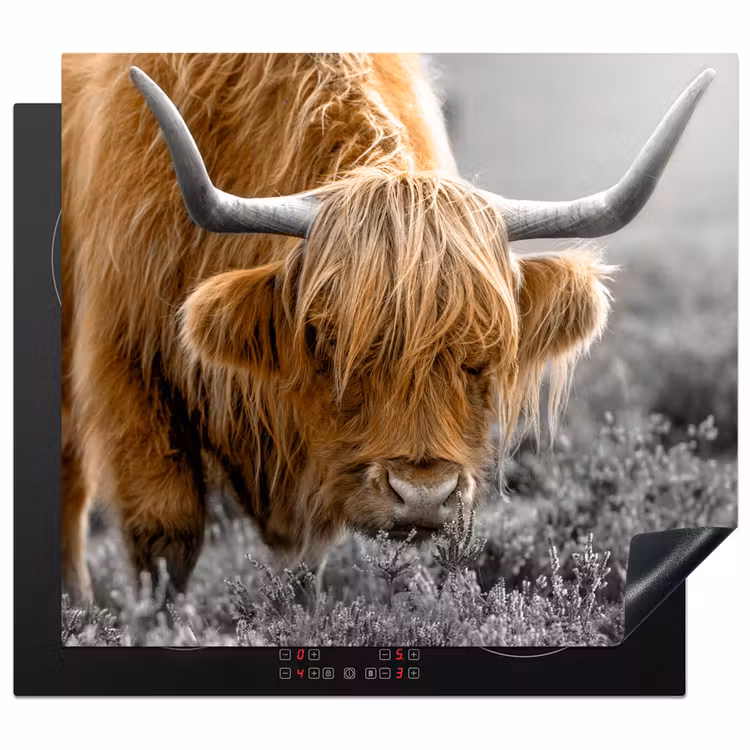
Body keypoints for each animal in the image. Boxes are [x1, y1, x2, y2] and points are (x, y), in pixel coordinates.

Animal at [61, 54, 714, 601]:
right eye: (328, 340)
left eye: (482, 354)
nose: (423, 495)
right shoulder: (128, 366)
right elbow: (165, 539)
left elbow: (303, 568)